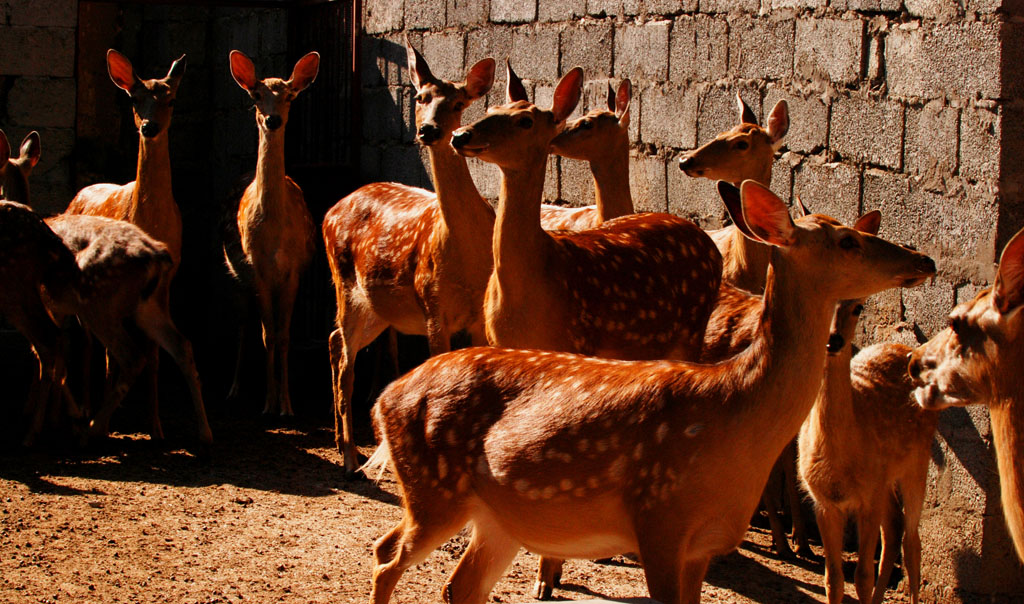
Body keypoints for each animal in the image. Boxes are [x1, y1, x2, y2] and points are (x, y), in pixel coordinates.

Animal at [222, 49, 317, 419]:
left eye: (289, 95)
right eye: (255, 95)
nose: (272, 120)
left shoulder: (293, 269)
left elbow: (283, 335)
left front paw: (287, 406)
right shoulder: (258, 269)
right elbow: (267, 335)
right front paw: (268, 404)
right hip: (235, 277)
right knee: (242, 325)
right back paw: (234, 389)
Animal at [366, 180, 937, 604]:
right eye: (847, 242)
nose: (924, 260)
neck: (735, 413)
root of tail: (385, 396)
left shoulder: (702, 544)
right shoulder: (660, 517)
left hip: (498, 518)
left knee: (456, 584)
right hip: (434, 491)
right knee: (384, 556)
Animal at [452, 66, 724, 360]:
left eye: (525, 121)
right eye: (491, 108)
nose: (461, 135)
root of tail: (712, 245)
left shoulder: (576, 342)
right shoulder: (497, 341)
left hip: (693, 329)